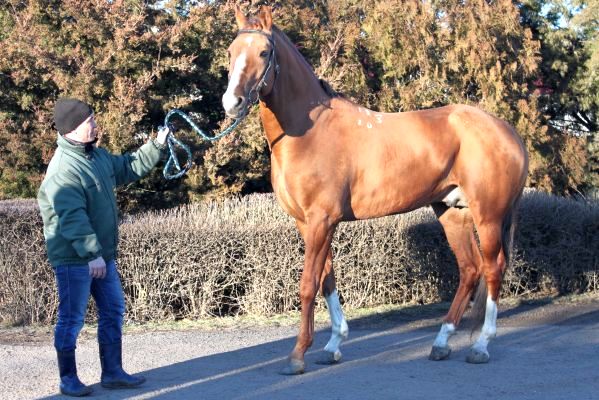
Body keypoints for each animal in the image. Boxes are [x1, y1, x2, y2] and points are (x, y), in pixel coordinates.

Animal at [223, 5, 528, 376]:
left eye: (264, 52)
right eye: (231, 52)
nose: (232, 102)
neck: (309, 132)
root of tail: (506, 131)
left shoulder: (321, 220)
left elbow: (309, 284)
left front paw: (297, 355)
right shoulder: (308, 223)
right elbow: (327, 280)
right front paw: (333, 345)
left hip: (489, 216)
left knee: (493, 268)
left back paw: (481, 346)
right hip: (451, 211)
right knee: (470, 269)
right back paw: (441, 343)